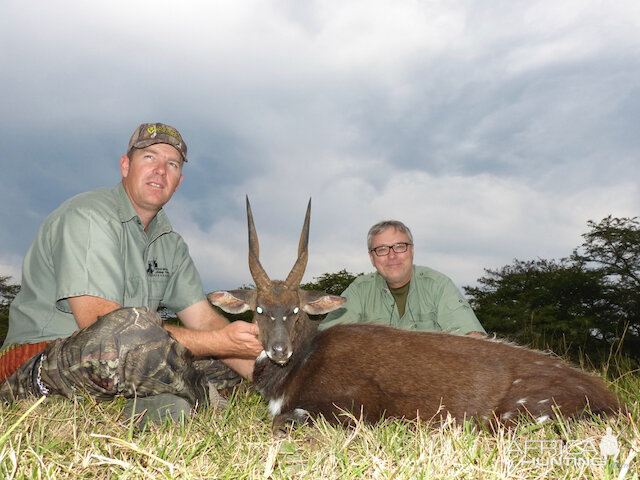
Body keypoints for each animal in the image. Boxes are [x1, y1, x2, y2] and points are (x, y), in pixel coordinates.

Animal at [209, 197, 620, 434]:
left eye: (295, 310)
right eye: (260, 310)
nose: (279, 350)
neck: (304, 361)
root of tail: (612, 401)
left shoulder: (355, 408)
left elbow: (281, 421)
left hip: (518, 417)